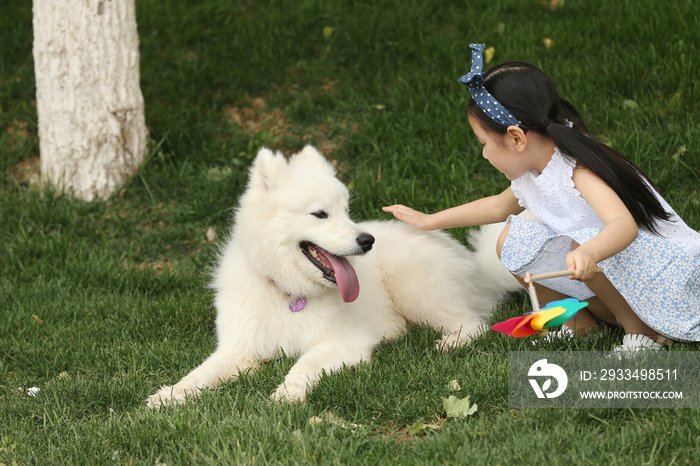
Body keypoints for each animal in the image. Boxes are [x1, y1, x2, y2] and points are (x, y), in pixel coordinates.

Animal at [148, 147, 520, 408]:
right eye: (320, 214)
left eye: (346, 210)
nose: (367, 240)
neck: (289, 292)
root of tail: (475, 263)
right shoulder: (239, 349)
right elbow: (201, 373)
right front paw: (170, 395)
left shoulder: (343, 343)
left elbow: (303, 365)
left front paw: (287, 393)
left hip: (414, 287)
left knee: (473, 322)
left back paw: (450, 342)